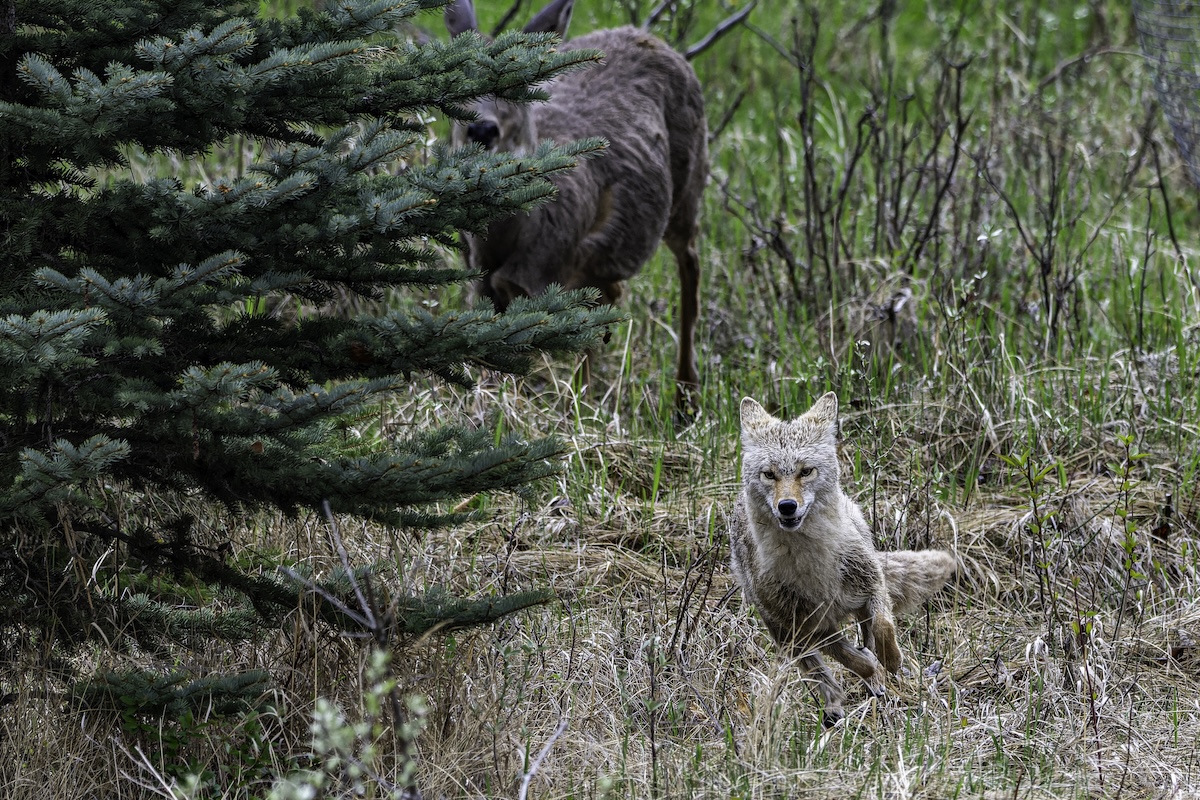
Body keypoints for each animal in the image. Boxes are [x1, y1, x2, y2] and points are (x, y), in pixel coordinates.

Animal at [444, 0, 708, 410]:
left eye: (521, 84)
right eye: (456, 80)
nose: (483, 130)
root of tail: (649, 36)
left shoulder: (540, 278)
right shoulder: (482, 285)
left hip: (687, 187)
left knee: (690, 266)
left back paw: (685, 395)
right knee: (610, 295)